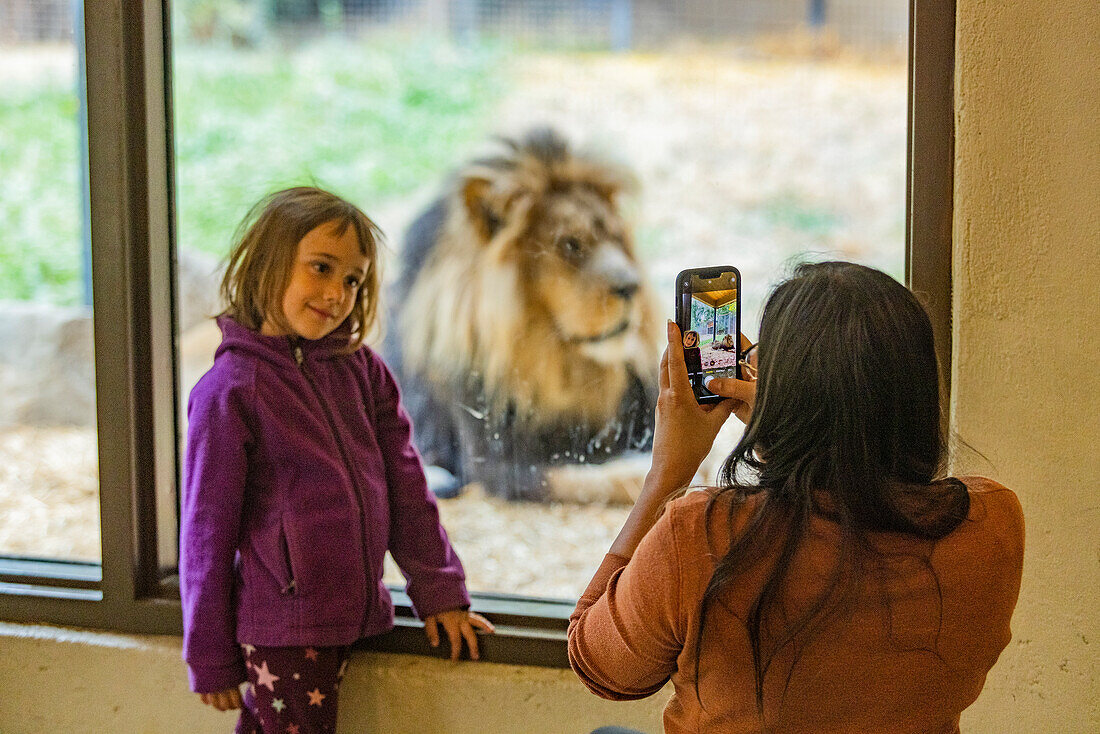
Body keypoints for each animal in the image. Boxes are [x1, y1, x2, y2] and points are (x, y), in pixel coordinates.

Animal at [387, 129, 660, 501]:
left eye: (616, 237)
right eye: (570, 244)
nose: (634, 287)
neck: (558, 365)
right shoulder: (497, 464)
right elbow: (600, 477)